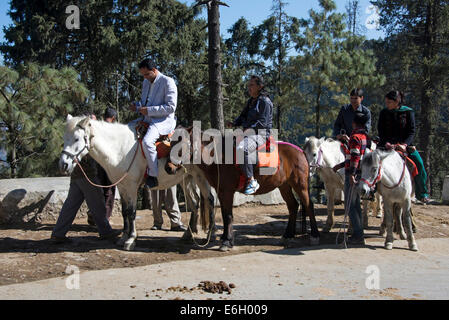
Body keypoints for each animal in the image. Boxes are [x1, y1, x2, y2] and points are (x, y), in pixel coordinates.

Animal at [58, 114, 215, 251]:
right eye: (64, 138)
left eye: (76, 138)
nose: (63, 165)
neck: (120, 148)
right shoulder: (121, 187)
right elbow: (124, 212)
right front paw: (123, 237)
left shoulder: (132, 187)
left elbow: (132, 212)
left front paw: (131, 239)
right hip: (187, 179)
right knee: (194, 203)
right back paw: (188, 235)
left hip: (201, 177)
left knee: (210, 199)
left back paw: (211, 235)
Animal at [166, 129, 320, 251]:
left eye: (182, 144)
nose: (168, 168)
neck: (219, 157)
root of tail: (300, 151)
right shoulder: (221, 192)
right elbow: (225, 214)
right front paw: (226, 239)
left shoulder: (227, 192)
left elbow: (228, 216)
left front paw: (227, 242)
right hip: (284, 185)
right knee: (293, 206)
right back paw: (287, 235)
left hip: (300, 184)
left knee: (308, 205)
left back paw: (314, 235)